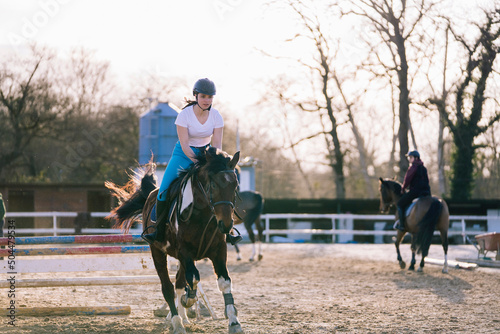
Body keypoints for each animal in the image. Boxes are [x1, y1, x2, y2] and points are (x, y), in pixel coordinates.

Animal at [107, 149, 244, 334]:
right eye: (214, 185)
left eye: (235, 186)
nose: (226, 224)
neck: (202, 215)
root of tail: (152, 193)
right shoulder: (185, 251)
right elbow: (193, 279)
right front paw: (189, 300)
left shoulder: (218, 250)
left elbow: (224, 283)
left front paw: (234, 322)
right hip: (157, 251)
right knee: (168, 287)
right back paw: (177, 322)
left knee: (179, 283)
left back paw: (182, 318)